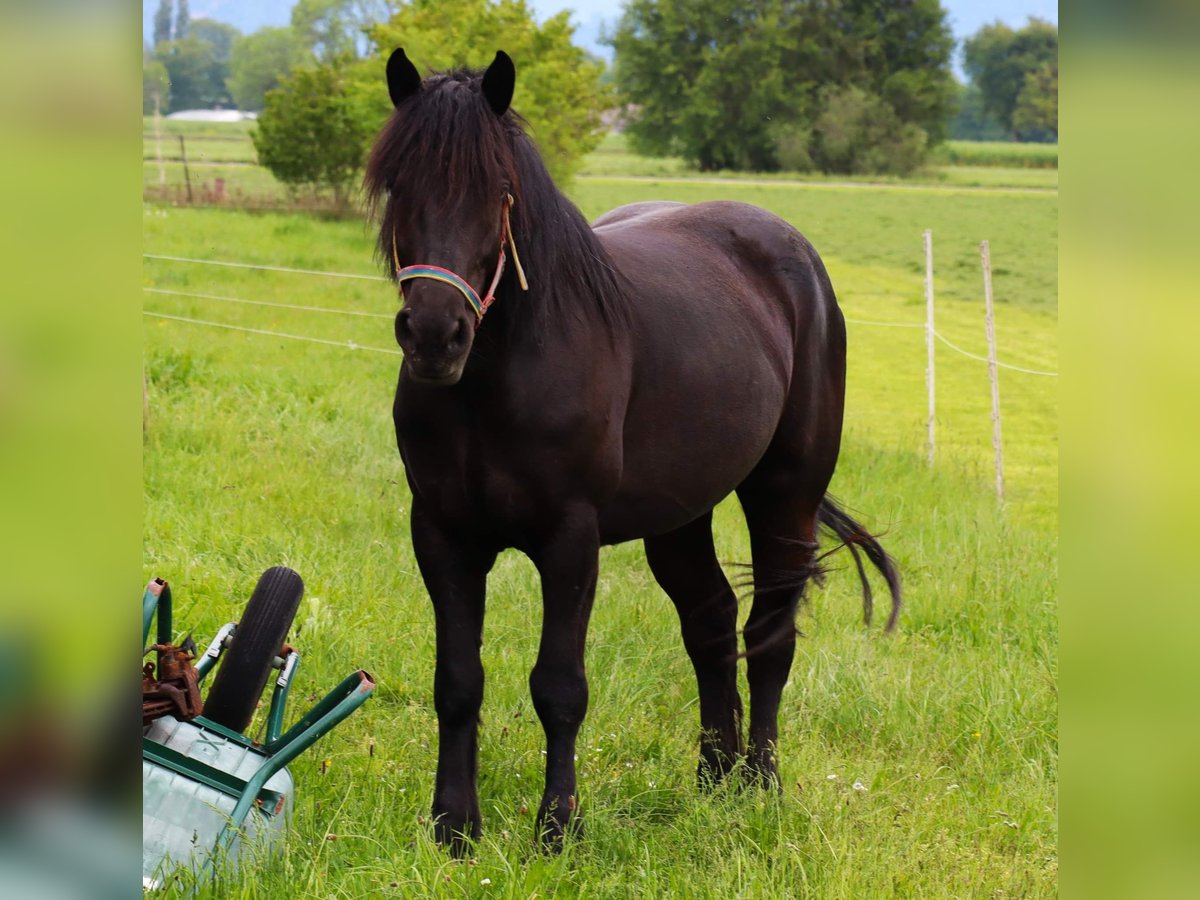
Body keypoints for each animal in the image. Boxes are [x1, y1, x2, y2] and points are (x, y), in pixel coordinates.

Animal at [364, 47, 902, 854]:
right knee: (711, 622)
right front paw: (453, 828)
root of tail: (793, 251)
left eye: (500, 193)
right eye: (399, 183)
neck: (496, 380)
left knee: (769, 635)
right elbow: (457, 681)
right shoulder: (442, 534)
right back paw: (714, 781)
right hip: (680, 515)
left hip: (786, 494)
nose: (434, 335)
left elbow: (559, 687)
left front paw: (557, 830)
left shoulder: (570, 539)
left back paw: (761, 787)